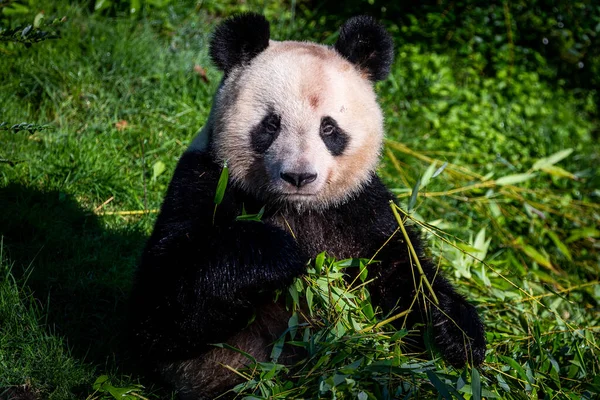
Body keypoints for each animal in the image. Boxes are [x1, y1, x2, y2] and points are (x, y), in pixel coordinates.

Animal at [129, 13, 486, 400]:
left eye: (329, 129)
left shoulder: (360, 207)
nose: (298, 176)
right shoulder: (204, 182)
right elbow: (161, 309)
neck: (297, 209)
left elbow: (404, 273)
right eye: (270, 125)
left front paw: (456, 334)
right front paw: (276, 252)